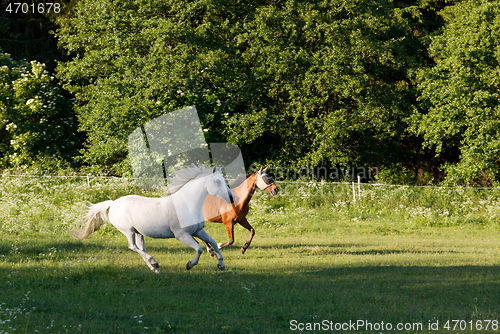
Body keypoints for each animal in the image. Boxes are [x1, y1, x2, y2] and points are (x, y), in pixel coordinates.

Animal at [72, 166, 234, 272]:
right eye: (217, 181)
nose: (232, 198)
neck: (187, 204)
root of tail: (113, 204)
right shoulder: (181, 235)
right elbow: (199, 248)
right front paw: (189, 264)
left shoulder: (198, 231)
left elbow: (213, 242)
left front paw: (221, 265)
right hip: (128, 231)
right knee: (133, 247)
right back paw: (154, 262)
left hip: (138, 232)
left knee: (140, 248)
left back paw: (154, 267)